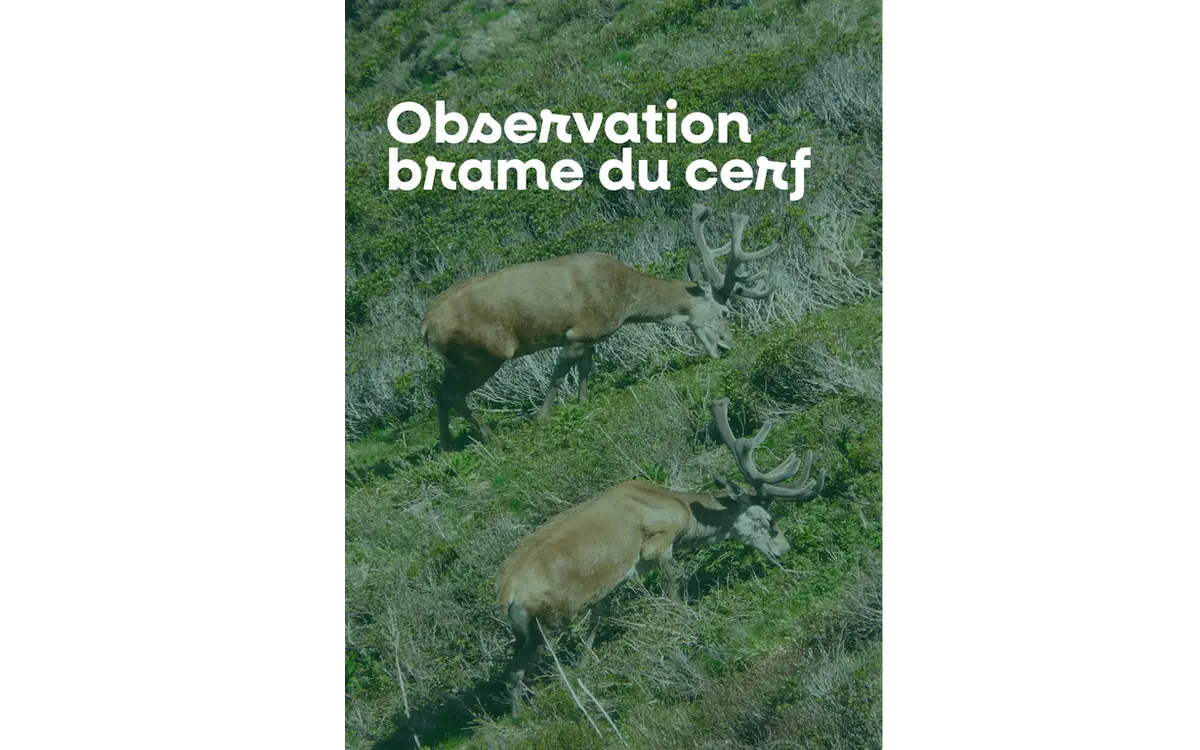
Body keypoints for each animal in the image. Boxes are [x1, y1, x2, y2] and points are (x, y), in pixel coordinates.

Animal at [420, 203, 777, 451]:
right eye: (724, 310)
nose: (728, 345)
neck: (624, 301)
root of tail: (425, 326)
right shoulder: (577, 332)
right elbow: (559, 374)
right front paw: (543, 415)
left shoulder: (591, 336)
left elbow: (585, 369)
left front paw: (582, 402)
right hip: (485, 354)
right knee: (451, 393)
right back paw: (486, 433)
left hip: (458, 360)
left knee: (439, 392)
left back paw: (446, 445)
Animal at [493, 397, 826, 717]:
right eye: (769, 520)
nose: (784, 549)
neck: (678, 508)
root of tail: (507, 593)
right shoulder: (658, 543)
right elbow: (673, 589)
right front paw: (682, 621)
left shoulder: (607, 585)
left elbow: (596, 622)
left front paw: (586, 665)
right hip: (549, 621)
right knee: (517, 671)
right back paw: (526, 713)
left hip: (524, 630)